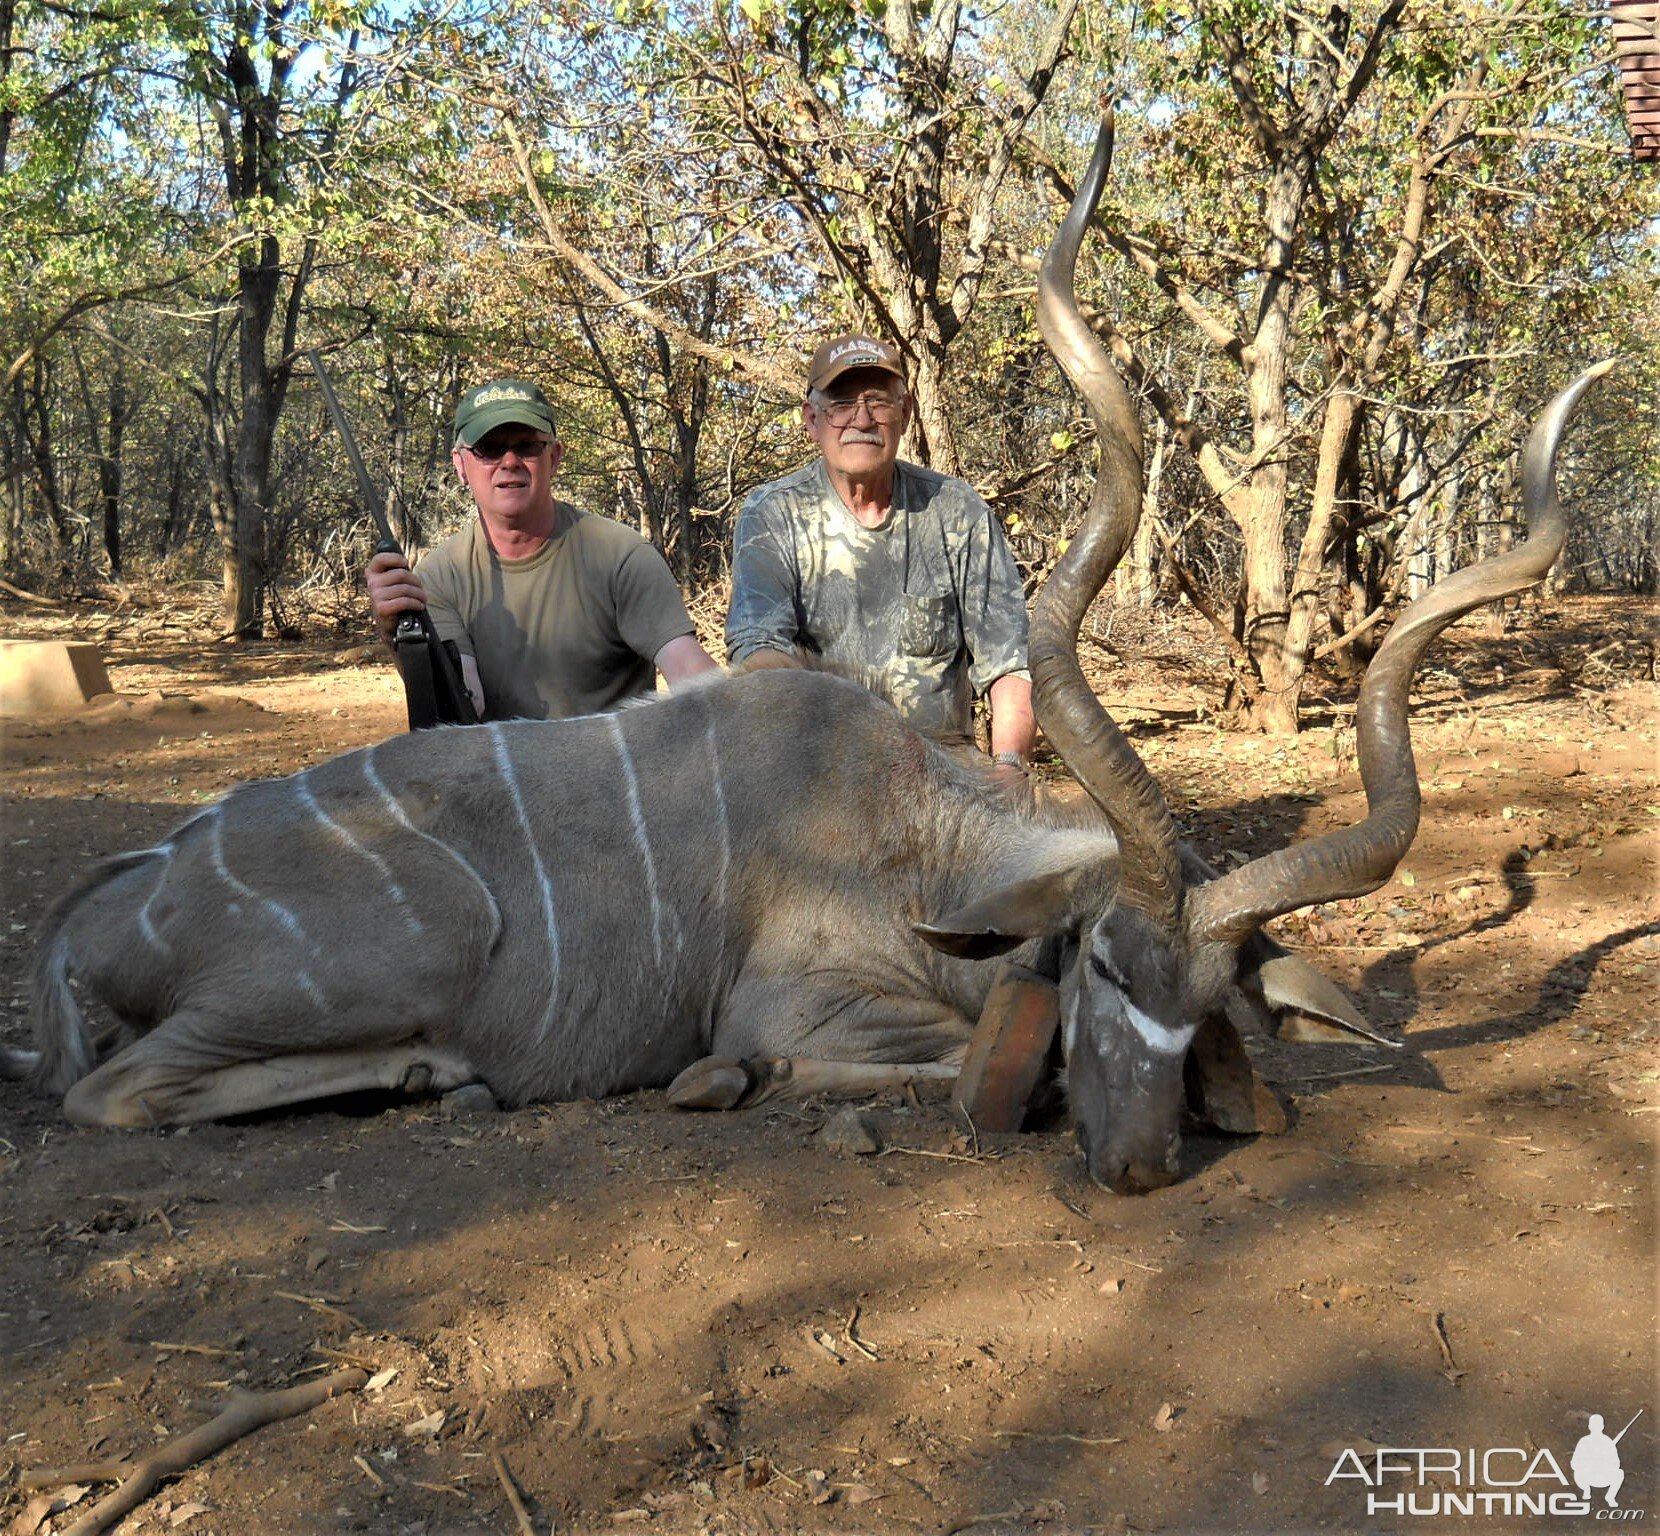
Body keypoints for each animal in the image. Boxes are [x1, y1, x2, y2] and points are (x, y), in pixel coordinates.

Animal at [0, 122, 1606, 1195]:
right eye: (1098, 962)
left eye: (1208, 999)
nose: (1137, 1165)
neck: (914, 840)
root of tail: (109, 910)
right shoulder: (797, 1011)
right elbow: (907, 1063)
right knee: (119, 1094)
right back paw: (427, 1072)